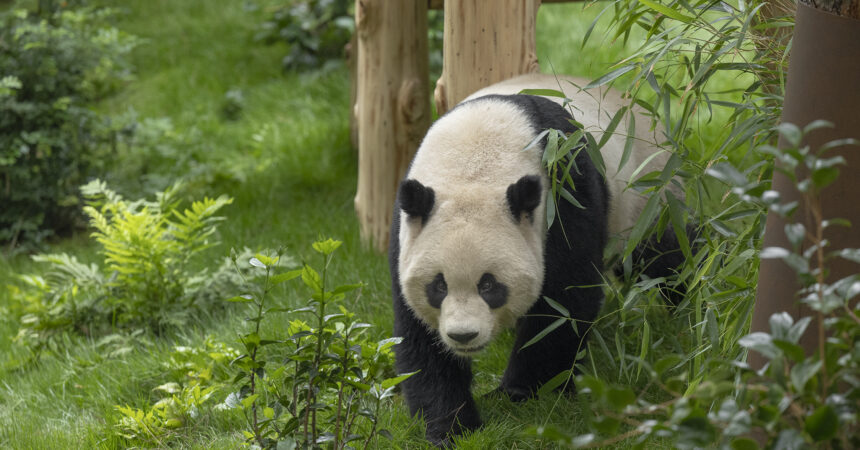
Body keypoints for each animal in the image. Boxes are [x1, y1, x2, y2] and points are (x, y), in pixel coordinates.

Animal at [392, 72, 684, 444]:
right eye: (438, 286)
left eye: (490, 286)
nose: (463, 336)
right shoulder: (408, 228)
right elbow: (419, 335)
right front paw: (452, 426)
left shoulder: (564, 188)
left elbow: (563, 302)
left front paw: (522, 393)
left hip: (647, 197)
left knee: (666, 257)